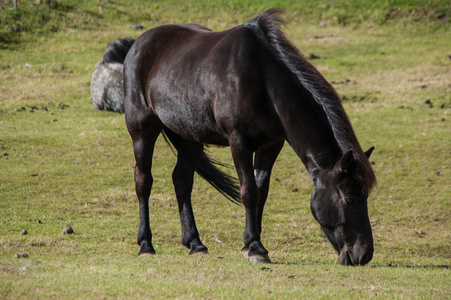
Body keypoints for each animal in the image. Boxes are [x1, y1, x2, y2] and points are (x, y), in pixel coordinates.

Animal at [123, 8, 378, 264]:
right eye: (350, 198)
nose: (363, 254)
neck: (263, 79)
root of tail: (138, 45)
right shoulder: (239, 141)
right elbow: (248, 191)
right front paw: (256, 247)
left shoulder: (271, 145)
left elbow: (261, 192)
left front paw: (251, 244)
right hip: (142, 131)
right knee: (143, 181)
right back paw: (146, 244)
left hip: (190, 138)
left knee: (182, 181)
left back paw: (195, 243)